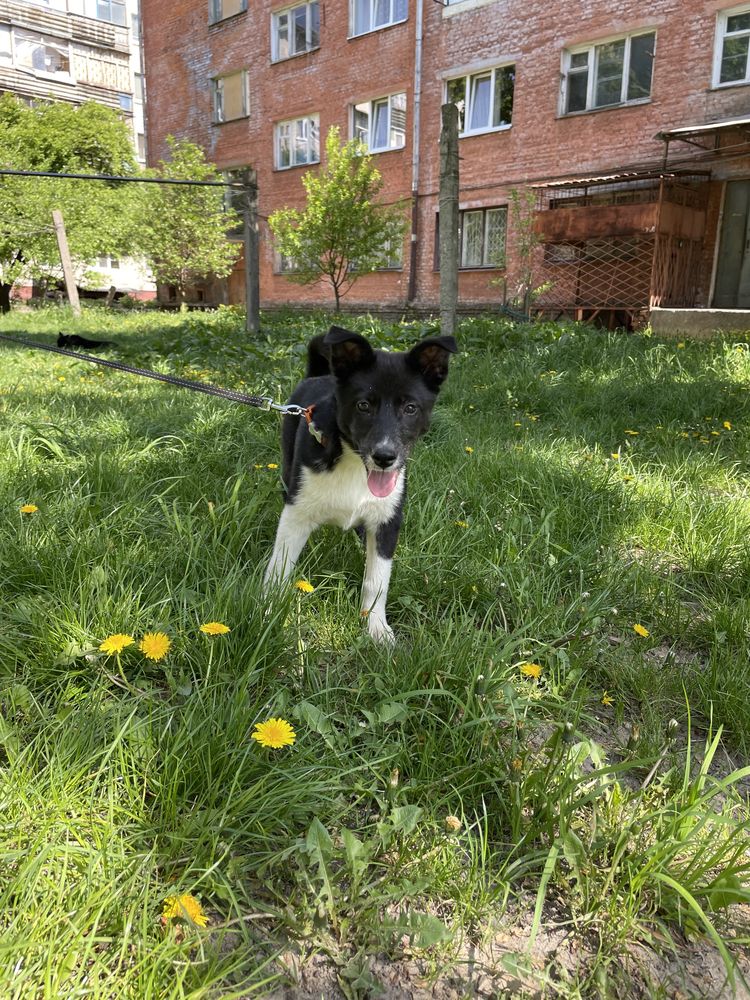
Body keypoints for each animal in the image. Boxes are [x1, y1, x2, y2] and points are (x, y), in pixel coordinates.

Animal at [264, 324, 458, 644]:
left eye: (411, 408)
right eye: (364, 405)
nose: (384, 457)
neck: (354, 463)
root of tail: (318, 375)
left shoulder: (388, 520)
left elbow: (377, 579)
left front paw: (377, 629)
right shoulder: (296, 513)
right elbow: (280, 567)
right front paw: (268, 611)